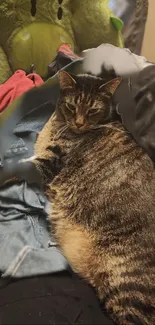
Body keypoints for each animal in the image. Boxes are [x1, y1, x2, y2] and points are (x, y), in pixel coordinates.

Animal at [25, 69, 155, 322]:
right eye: (72, 106)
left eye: (93, 110)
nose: (79, 122)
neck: (58, 123)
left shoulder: (49, 163)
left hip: (126, 286)